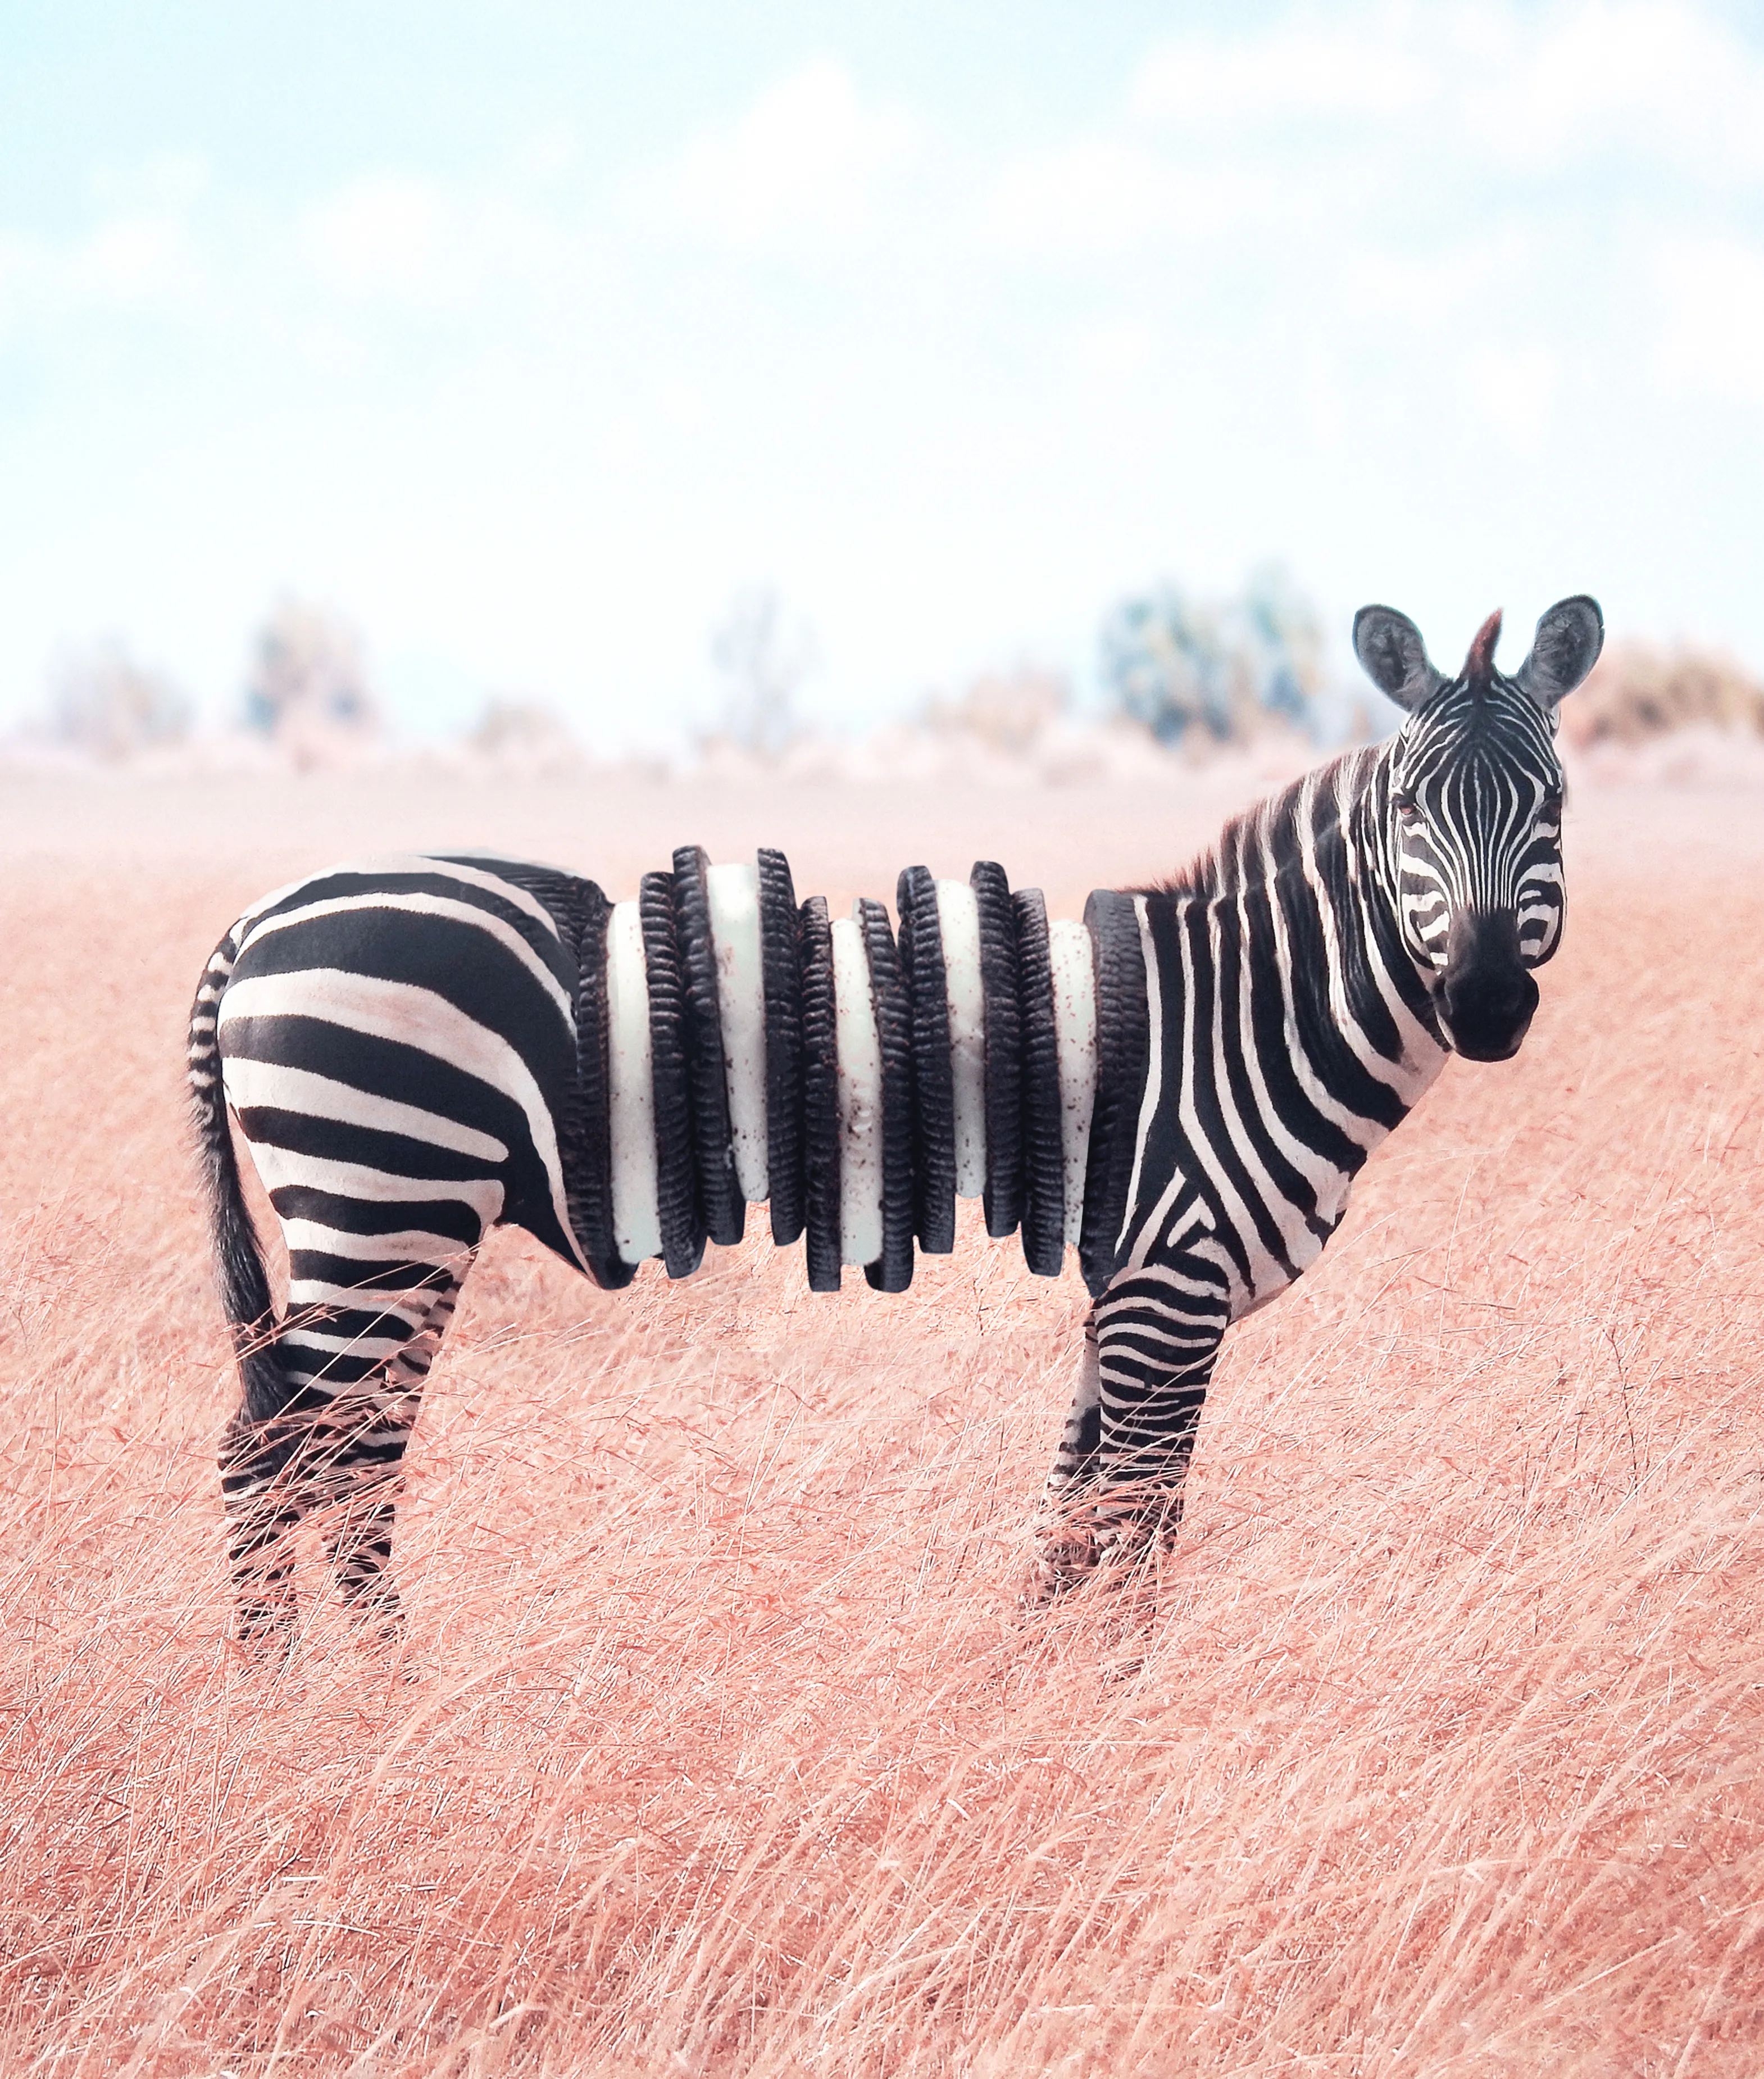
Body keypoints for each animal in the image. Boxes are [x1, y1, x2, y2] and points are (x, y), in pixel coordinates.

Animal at [189, 595, 1602, 1647]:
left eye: (1553, 805)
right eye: (1410, 811)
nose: (1486, 1004)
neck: (1238, 1012)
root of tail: (259, 913)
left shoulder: (1119, 1289)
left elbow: (1066, 1520)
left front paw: (1027, 1703)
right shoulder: (1170, 1280)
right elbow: (1140, 1528)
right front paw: (1124, 1714)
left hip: (390, 1217)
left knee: (293, 1454)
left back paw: (298, 1713)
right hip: (390, 1199)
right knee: (318, 1463)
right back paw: (367, 1717)